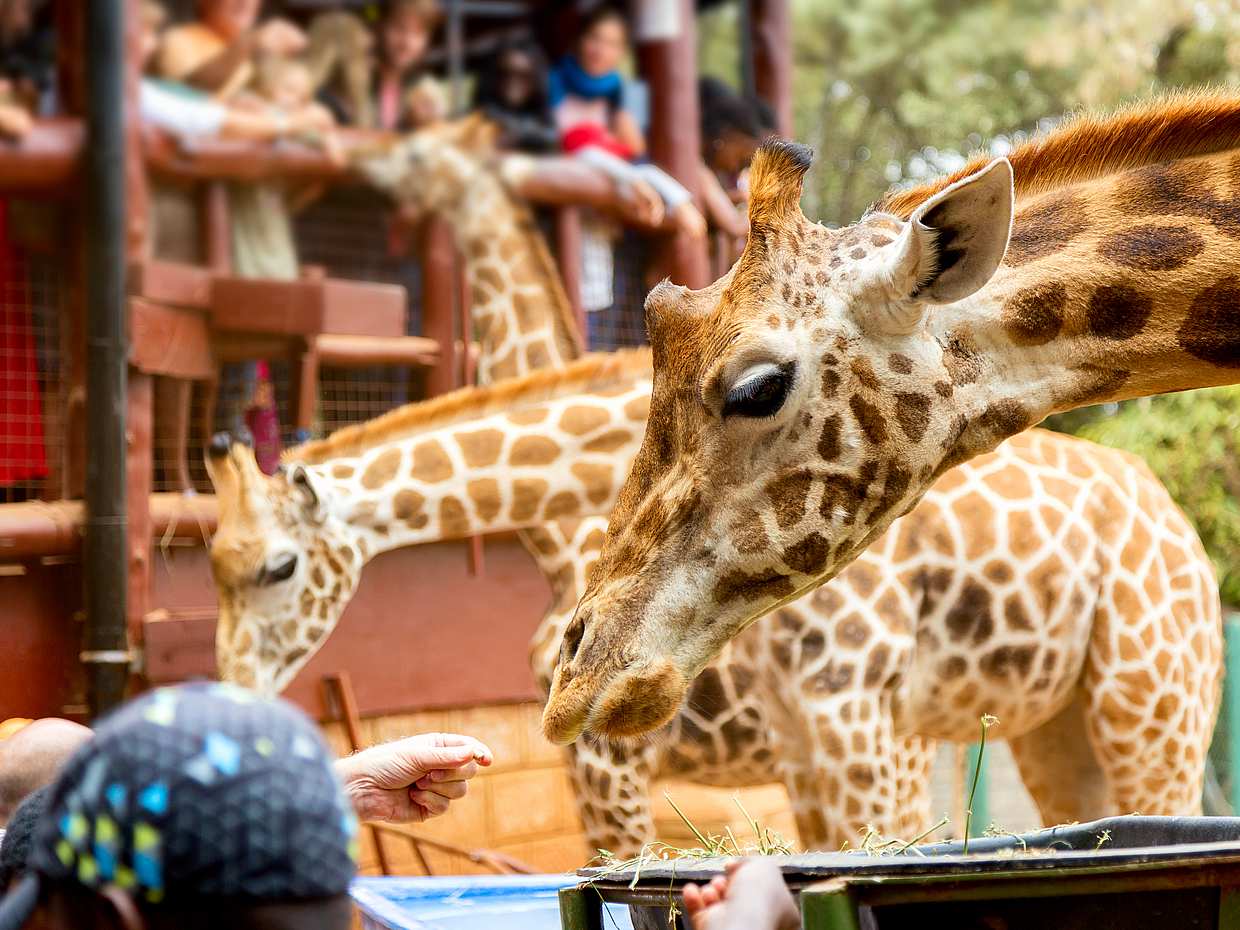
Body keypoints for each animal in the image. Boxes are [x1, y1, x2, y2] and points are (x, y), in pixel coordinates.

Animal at [207, 353, 1219, 850]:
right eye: (212, 565)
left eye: (279, 568)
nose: (231, 694)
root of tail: (1185, 532)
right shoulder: (803, 730)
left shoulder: (857, 714)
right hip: (1060, 726)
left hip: (1151, 704)